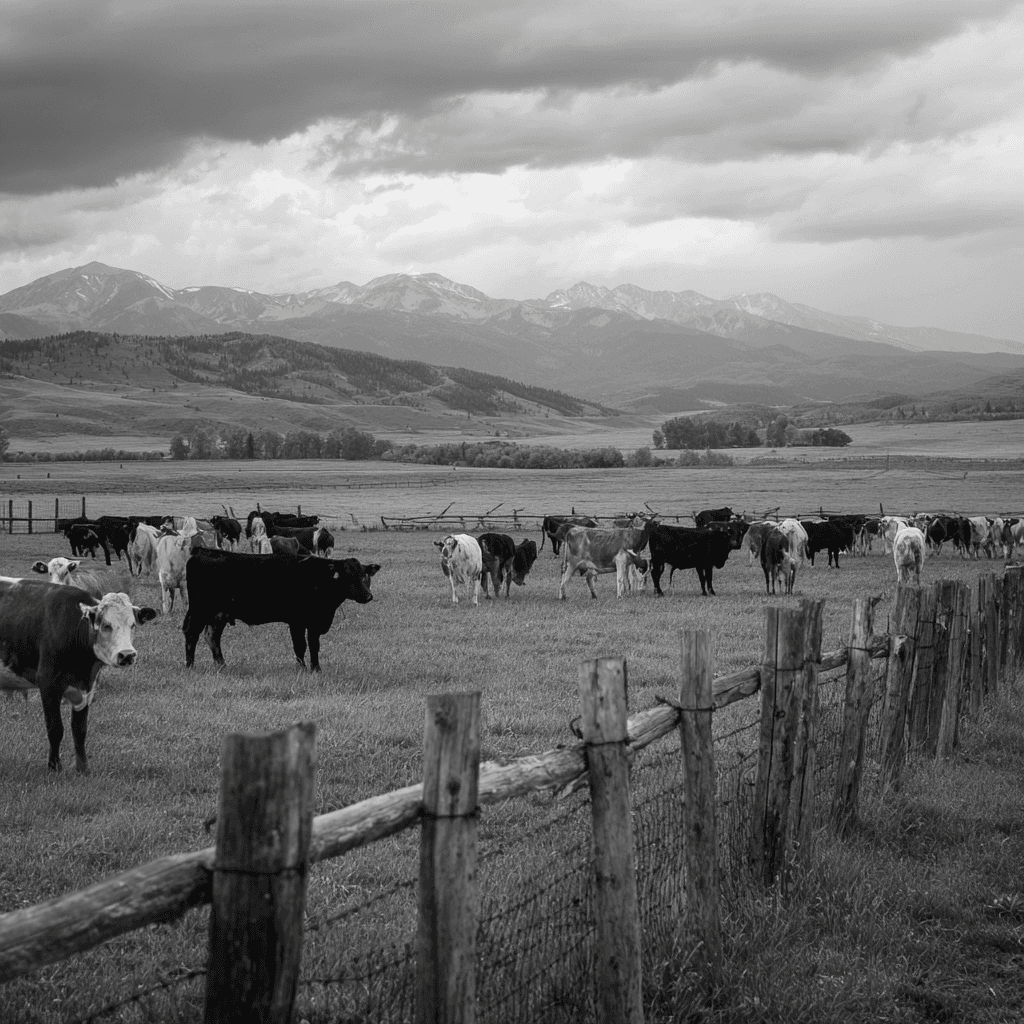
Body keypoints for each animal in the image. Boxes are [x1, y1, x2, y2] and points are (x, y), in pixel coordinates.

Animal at [0, 579, 157, 772]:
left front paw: (83, 768)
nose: (127, 655)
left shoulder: (88, 688)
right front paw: (54, 766)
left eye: (133, 625)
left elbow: (79, 730)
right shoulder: (48, 684)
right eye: (106, 625)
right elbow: (55, 729)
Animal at [182, 549, 380, 671]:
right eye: (348, 576)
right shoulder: (297, 620)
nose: (368, 596)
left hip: (218, 614)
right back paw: (190, 665)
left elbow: (314, 646)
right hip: (200, 610)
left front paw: (316, 669)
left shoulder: (315, 622)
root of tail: (202, 552)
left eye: (364, 575)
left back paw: (222, 665)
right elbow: (300, 646)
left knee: (212, 636)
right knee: (192, 634)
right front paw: (302, 669)